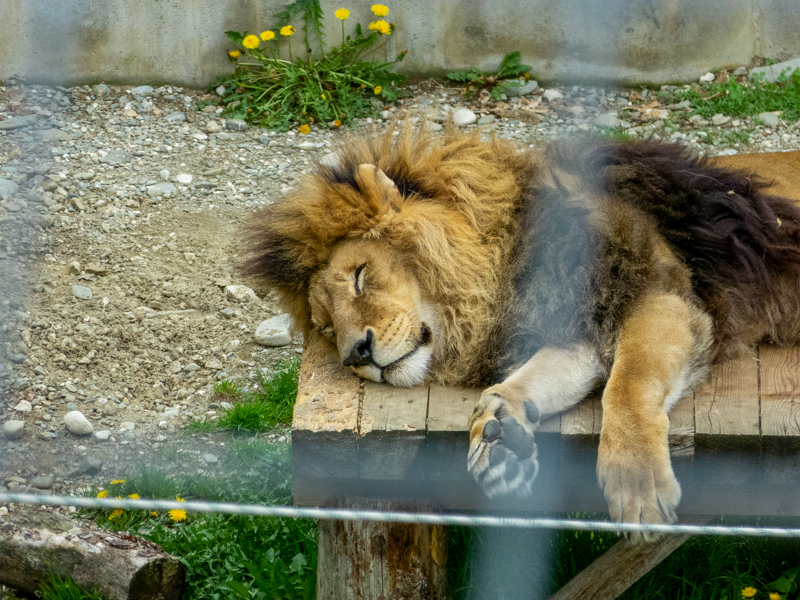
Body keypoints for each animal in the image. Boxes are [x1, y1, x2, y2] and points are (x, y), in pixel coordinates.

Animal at [242, 124, 800, 538]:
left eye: (359, 276)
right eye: (325, 325)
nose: (356, 353)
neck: (502, 272)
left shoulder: (660, 294)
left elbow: (629, 384)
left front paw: (636, 484)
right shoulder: (577, 332)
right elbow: (519, 384)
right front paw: (498, 439)